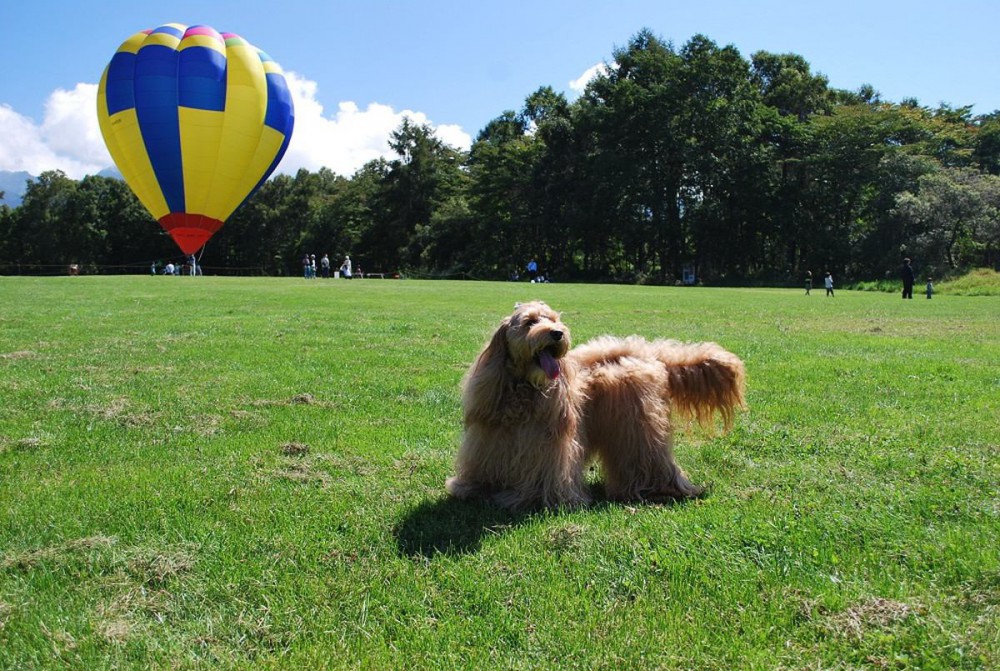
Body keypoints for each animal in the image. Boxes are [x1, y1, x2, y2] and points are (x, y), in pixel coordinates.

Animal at [446, 302, 744, 512]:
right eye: (530, 322)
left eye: (554, 319)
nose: (557, 333)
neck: (524, 388)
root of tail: (648, 353)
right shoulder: (491, 437)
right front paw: (472, 488)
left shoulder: (548, 445)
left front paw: (529, 498)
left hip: (639, 430)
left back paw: (659, 489)